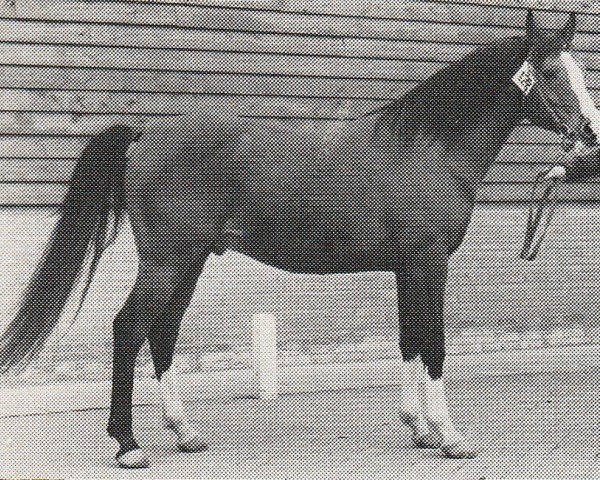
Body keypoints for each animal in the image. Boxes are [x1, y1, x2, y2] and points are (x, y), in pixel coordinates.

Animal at [1, 10, 600, 468]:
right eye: (550, 70)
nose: (592, 136)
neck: (429, 142)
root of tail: (146, 133)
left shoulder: (410, 267)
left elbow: (410, 339)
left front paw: (421, 428)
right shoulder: (427, 263)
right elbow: (431, 342)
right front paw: (449, 437)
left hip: (188, 260)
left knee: (162, 333)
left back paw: (185, 433)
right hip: (168, 259)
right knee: (130, 329)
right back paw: (128, 446)